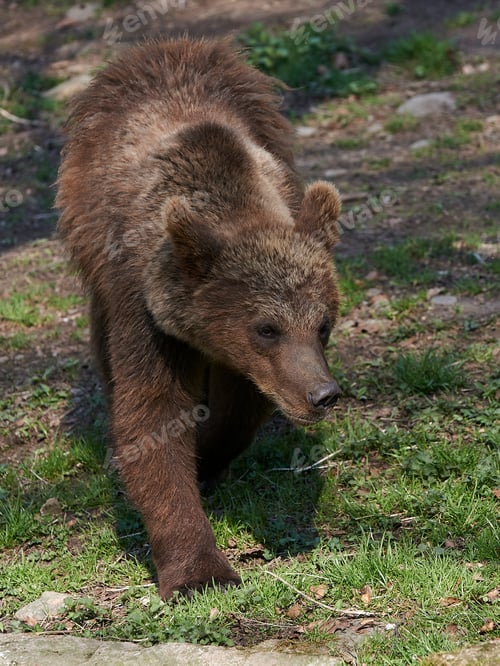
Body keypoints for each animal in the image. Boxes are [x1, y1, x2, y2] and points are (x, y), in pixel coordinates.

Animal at [56, 37, 342, 599]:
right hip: (89, 232)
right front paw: (200, 571)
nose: (323, 394)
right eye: (267, 327)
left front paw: (208, 457)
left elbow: (242, 407)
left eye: (323, 325)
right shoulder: (143, 306)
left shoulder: (247, 360)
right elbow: (152, 415)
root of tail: (165, 47)